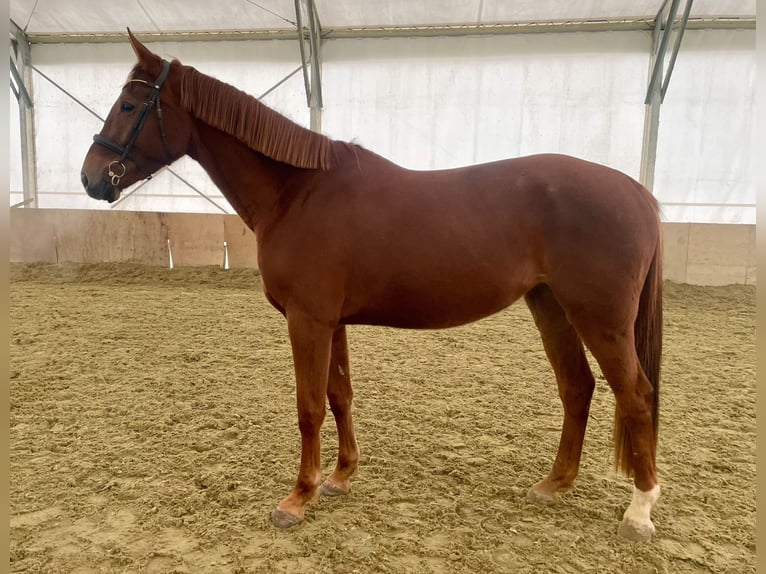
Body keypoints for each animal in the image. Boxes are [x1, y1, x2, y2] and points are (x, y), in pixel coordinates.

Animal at [81, 30, 663, 542]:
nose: (90, 177)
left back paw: (639, 511)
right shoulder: (331, 321)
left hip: (601, 319)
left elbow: (309, 406)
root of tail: (637, 193)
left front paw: (298, 497)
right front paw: (340, 477)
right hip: (552, 306)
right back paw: (554, 485)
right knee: (577, 387)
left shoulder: (308, 320)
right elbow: (339, 395)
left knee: (635, 396)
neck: (297, 193)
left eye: (129, 106)